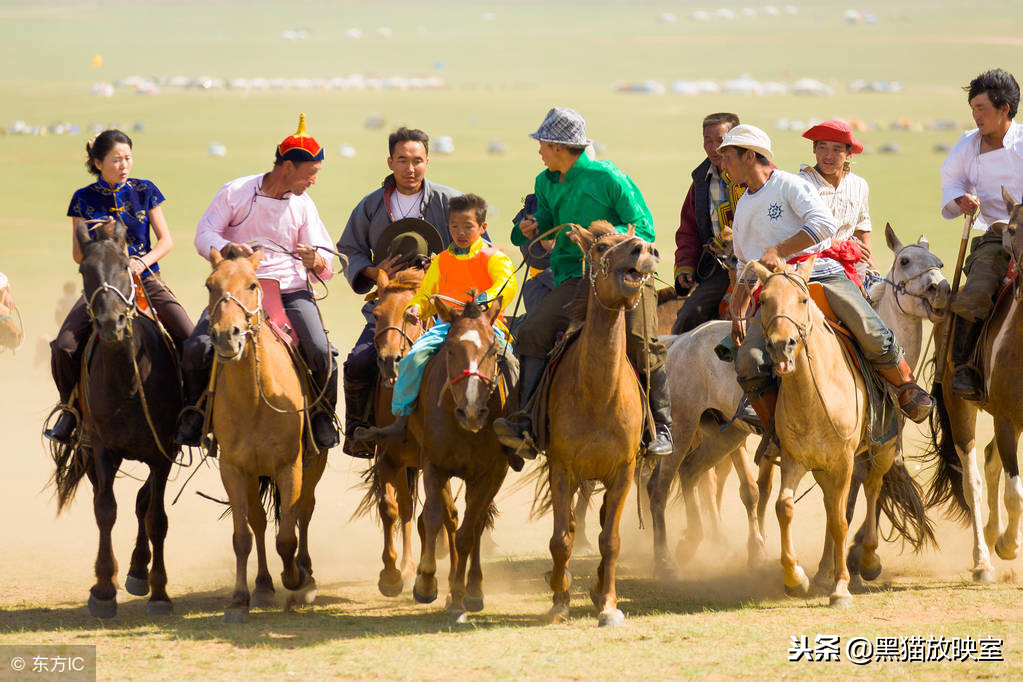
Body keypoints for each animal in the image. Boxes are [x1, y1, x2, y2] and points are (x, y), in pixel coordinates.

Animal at [49, 219, 182, 618]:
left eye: (126, 265)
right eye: (84, 270)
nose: (111, 323)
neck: (130, 379)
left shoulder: (163, 453)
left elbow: (156, 518)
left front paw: (160, 593)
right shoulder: (103, 450)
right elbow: (105, 511)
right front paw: (104, 591)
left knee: (143, 502)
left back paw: (139, 572)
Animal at [204, 248, 326, 622]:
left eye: (252, 284)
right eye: (210, 285)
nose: (227, 335)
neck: (256, 398)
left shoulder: (291, 466)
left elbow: (286, 535)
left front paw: (297, 580)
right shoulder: (233, 468)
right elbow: (242, 535)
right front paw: (239, 599)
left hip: (312, 466)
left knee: (304, 512)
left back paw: (305, 573)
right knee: (258, 523)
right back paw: (262, 585)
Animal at [407, 296, 510, 622]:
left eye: (493, 349)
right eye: (451, 348)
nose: (472, 410)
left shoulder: (491, 472)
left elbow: (469, 530)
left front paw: (462, 594)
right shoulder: (435, 465)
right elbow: (436, 518)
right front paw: (426, 582)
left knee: (475, 523)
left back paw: (471, 590)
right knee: (450, 518)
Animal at [539, 222, 658, 627]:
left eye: (638, 237)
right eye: (601, 247)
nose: (644, 250)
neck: (599, 393)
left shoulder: (623, 472)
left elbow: (611, 540)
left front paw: (608, 603)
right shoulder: (562, 469)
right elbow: (561, 538)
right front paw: (559, 599)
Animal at [753, 256, 931, 606]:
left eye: (802, 299)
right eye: (764, 300)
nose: (782, 346)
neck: (813, 393)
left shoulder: (844, 461)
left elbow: (840, 520)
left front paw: (841, 588)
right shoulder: (795, 460)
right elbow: (785, 507)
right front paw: (795, 578)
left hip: (880, 450)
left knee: (872, 489)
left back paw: (868, 560)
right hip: (824, 469)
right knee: (830, 502)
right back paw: (824, 571)